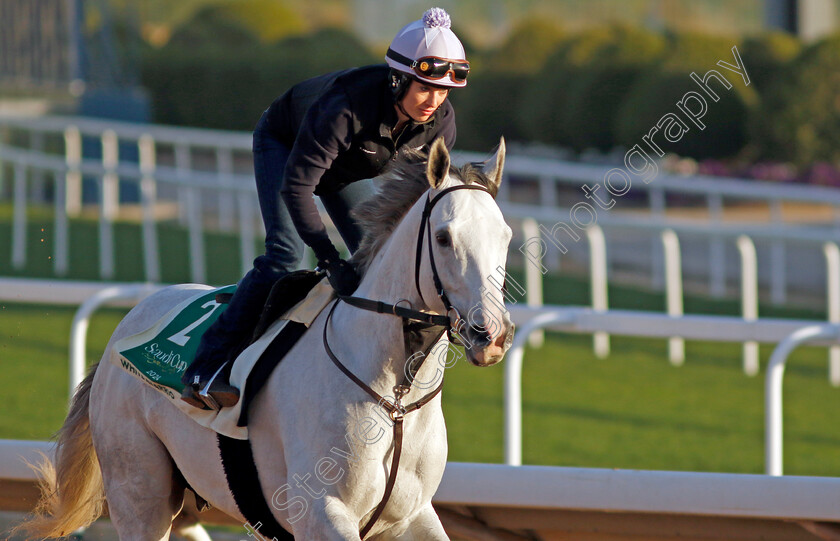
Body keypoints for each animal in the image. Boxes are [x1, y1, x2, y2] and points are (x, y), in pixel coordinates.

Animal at [18, 138, 512, 540]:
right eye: (444, 237)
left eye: (506, 236)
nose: (492, 334)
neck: (395, 400)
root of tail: (127, 324)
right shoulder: (321, 512)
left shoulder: (411, 517)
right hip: (139, 489)